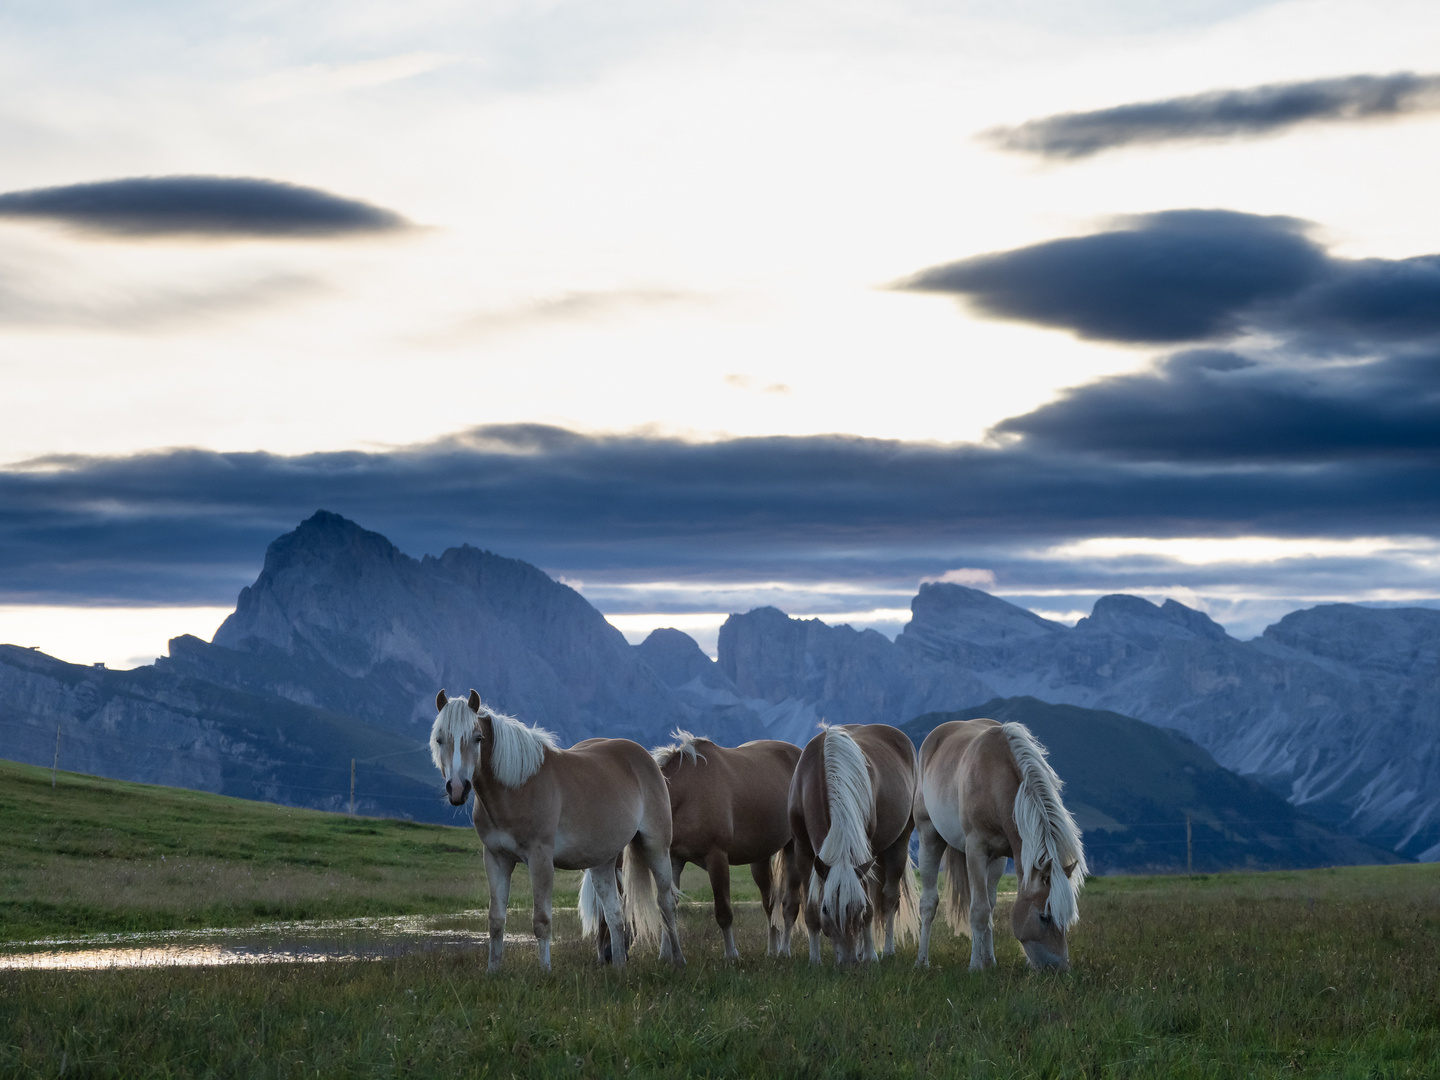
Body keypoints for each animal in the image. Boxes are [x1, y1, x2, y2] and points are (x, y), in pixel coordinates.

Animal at [426, 694, 685, 979]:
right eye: (439, 738)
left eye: (477, 737)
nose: (457, 788)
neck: (515, 789)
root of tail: (647, 759)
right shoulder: (496, 859)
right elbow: (496, 919)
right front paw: (492, 971)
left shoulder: (540, 859)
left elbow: (541, 920)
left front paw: (545, 970)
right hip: (603, 862)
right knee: (615, 913)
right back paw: (618, 966)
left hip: (656, 847)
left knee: (666, 902)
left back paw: (676, 959)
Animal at [783, 722, 915, 967]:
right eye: (826, 909)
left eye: (858, 907)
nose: (848, 962)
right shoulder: (802, 850)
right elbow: (810, 910)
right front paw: (814, 960)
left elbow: (871, 908)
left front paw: (871, 955)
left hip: (899, 842)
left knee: (889, 899)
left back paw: (885, 951)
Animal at [915, 722, 1082, 979]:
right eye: (1044, 917)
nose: (1061, 969)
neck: (995, 779)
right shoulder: (976, 850)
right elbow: (979, 911)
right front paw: (975, 966)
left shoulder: (1004, 855)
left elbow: (989, 908)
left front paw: (988, 961)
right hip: (929, 837)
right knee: (929, 903)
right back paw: (922, 962)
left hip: (995, 862)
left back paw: (988, 959)